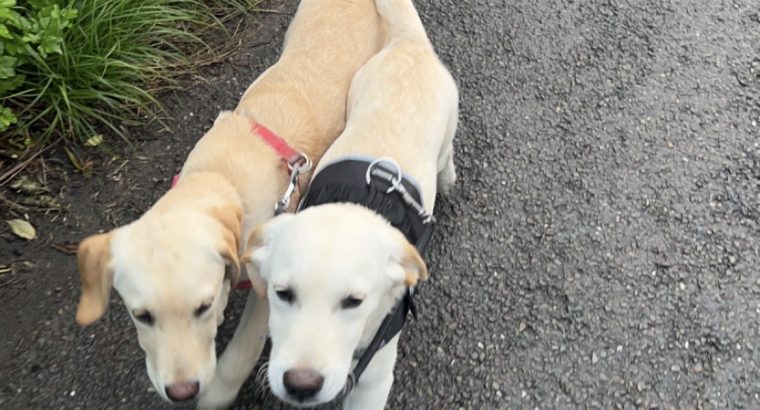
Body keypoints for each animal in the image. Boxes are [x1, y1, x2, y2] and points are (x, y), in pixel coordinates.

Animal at [73, 0, 382, 406]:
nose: (181, 392)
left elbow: (241, 353)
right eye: (141, 315)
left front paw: (215, 393)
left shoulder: (266, 290)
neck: (221, 175)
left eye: (201, 307)